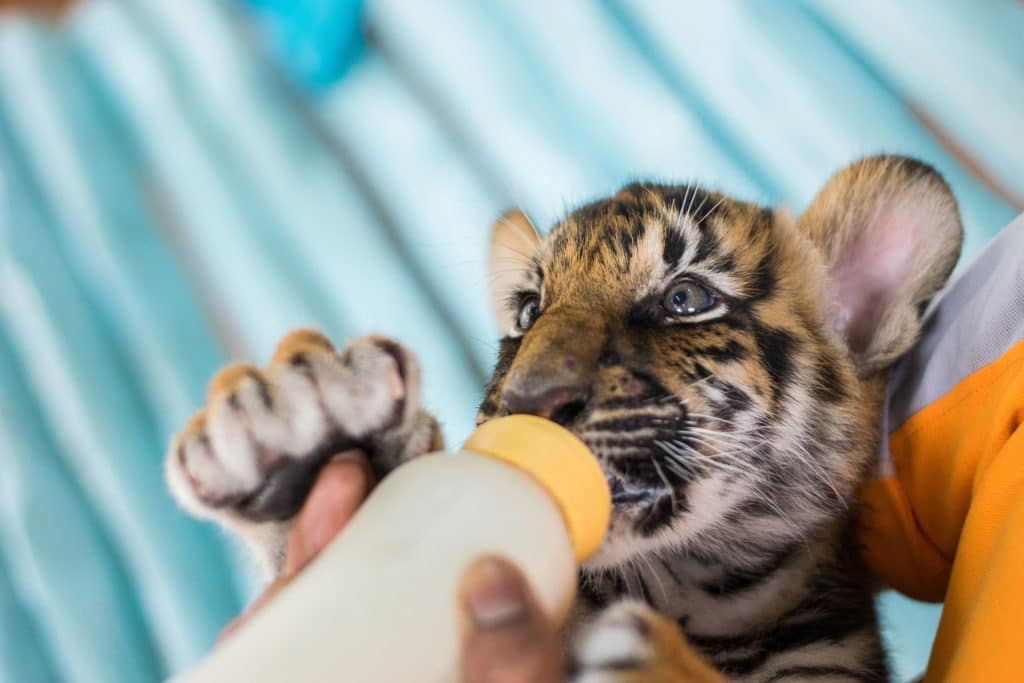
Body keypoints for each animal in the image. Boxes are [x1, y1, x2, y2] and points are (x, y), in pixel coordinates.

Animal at [167, 156, 958, 683]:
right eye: (526, 312)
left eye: (687, 299)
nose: (528, 402)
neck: (690, 588)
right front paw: (300, 431)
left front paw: (649, 661)